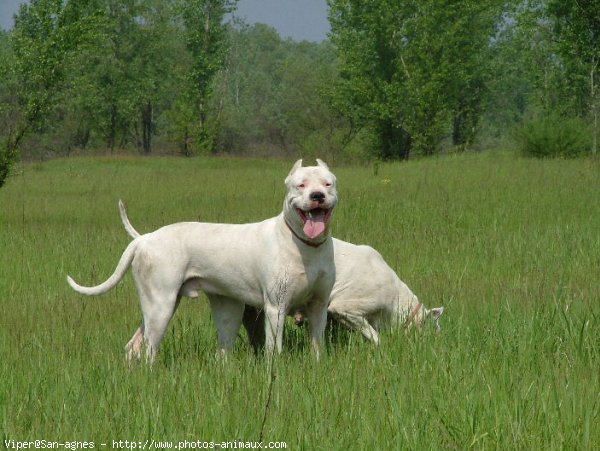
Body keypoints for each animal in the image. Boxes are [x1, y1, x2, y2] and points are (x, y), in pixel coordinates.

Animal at [68, 161, 340, 362]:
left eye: (328, 184)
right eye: (301, 185)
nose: (317, 195)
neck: (305, 246)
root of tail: (144, 238)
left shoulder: (318, 306)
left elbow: (317, 345)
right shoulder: (276, 308)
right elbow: (275, 349)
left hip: (162, 306)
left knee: (133, 345)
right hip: (161, 306)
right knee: (150, 349)